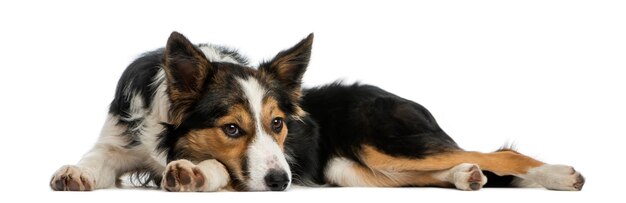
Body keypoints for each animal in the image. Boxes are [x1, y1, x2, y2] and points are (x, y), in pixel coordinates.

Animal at [50, 31, 584, 192]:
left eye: (279, 125)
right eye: (231, 128)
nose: (282, 182)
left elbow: (216, 171)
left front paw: (193, 172)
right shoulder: (119, 139)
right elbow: (96, 159)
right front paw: (75, 173)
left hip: (386, 143)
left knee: (501, 154)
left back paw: (560, 175)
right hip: (353, 170)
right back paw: (464, 176)